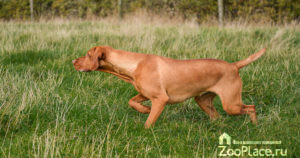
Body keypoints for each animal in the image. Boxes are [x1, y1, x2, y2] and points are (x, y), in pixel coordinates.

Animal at [73, 46, 268, 128]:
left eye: (88, 55)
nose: (73, 61)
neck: (134, 64)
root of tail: (234, 65)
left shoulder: (161, 99)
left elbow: (149, 123)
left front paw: (146, 122)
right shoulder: (146, 94)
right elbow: (132, 101)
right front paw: (144, 109)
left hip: (231, 104)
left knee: (251, 107)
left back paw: (255, 126)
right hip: (203, 100)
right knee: (217, 116)